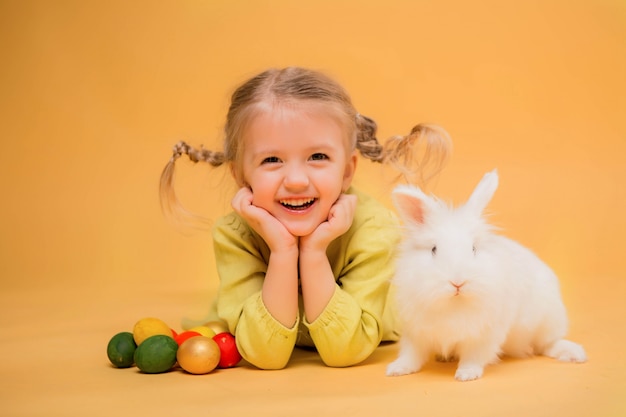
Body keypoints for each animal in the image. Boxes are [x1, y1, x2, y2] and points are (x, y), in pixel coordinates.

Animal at [386, 169, 584, 380]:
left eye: (474, 248)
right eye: (433, 249)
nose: (458, 282)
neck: (454, 304)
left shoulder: (483, 335)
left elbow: (474, 356)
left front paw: (466, 374)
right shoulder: (415, 332)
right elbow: (411, 354)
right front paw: (396, 369)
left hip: (548, 321)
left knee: (548, 344)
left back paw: (574, 353)